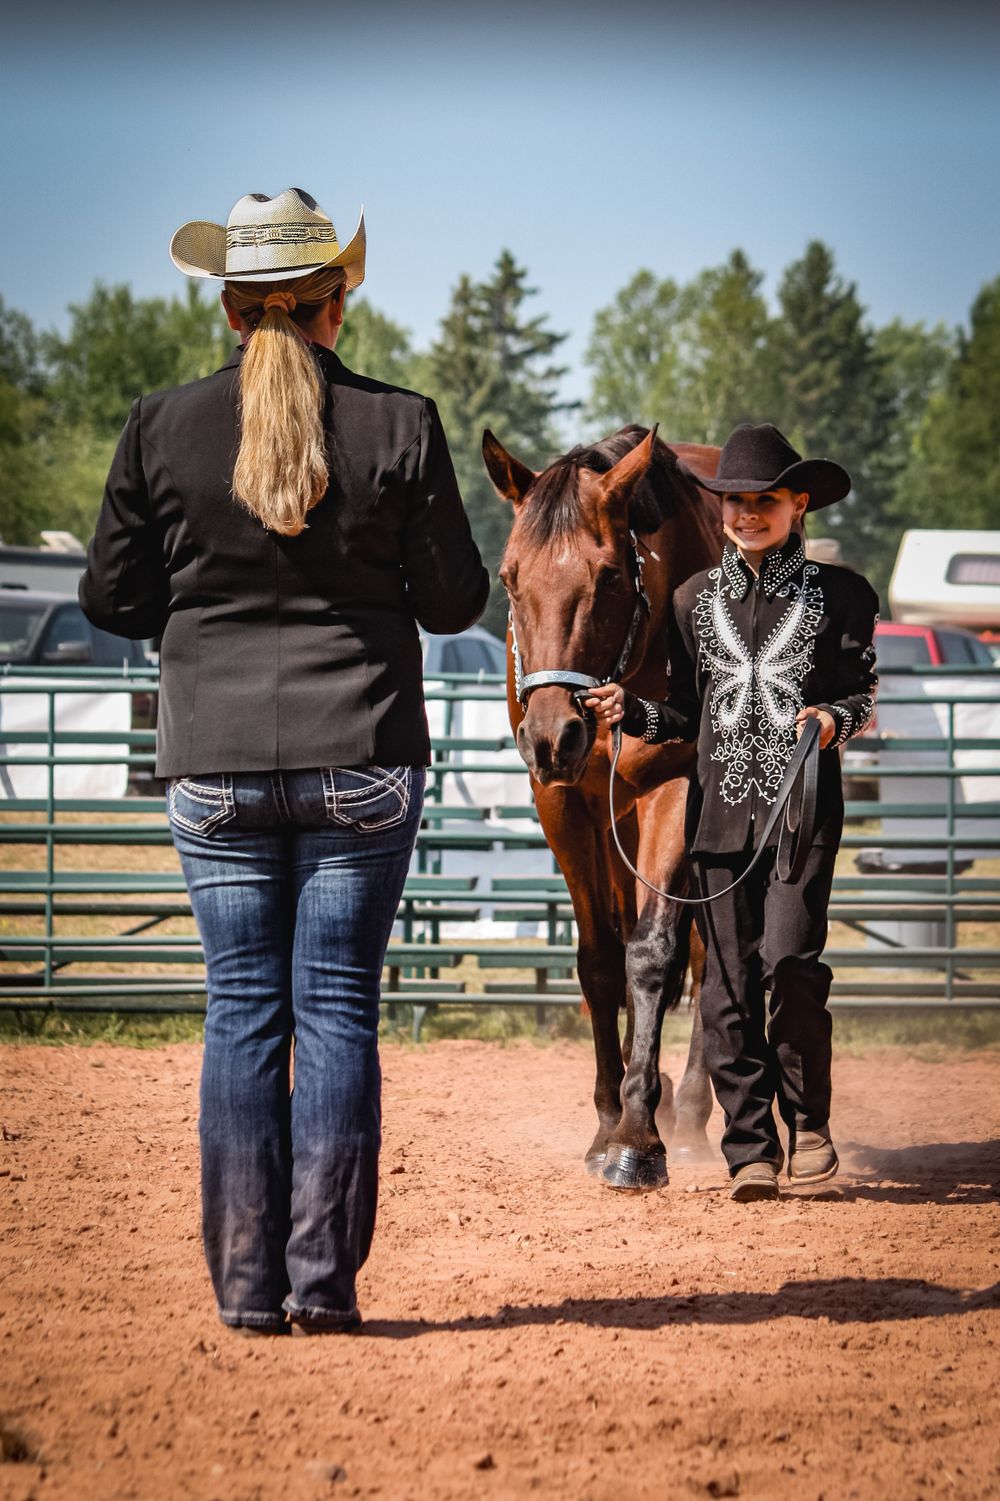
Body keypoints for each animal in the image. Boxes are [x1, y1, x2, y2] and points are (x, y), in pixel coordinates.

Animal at [482, 424, 723, 1191]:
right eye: (509, 577)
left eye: (611, 575)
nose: (552, 734)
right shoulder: (564, 805)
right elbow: (598, 962)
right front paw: (606, 1119)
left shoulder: (675, 791)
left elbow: (652, 954)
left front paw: (637, 1136)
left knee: (706, 957)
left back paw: (690, 1112)